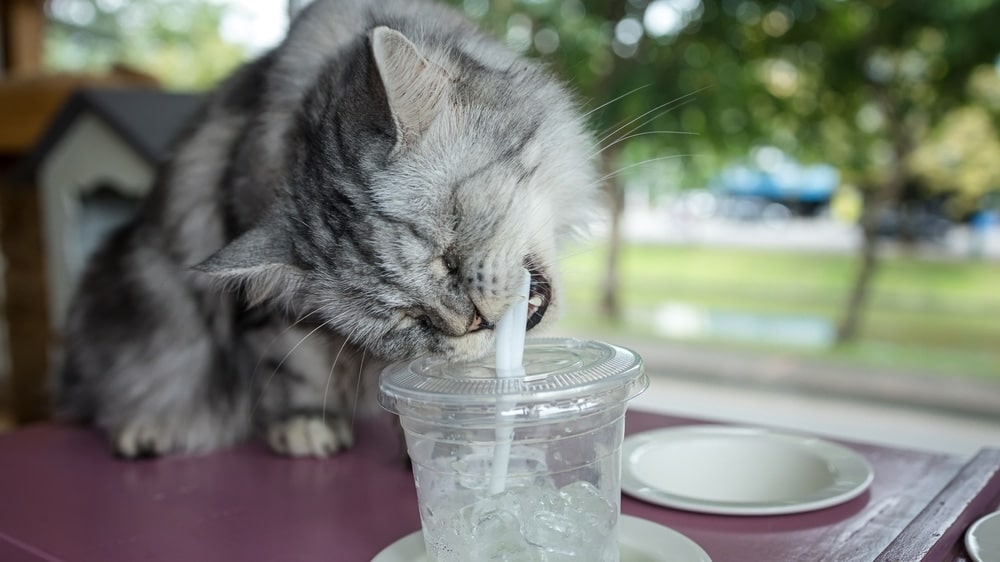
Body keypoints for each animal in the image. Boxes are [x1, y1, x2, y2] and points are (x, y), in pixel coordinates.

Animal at [56, 0, 592, 458]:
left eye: (451, 248)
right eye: (410, 318)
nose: (471, 323)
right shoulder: (278, 315)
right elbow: (301, 369)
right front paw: (308, 424)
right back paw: (148, 428)